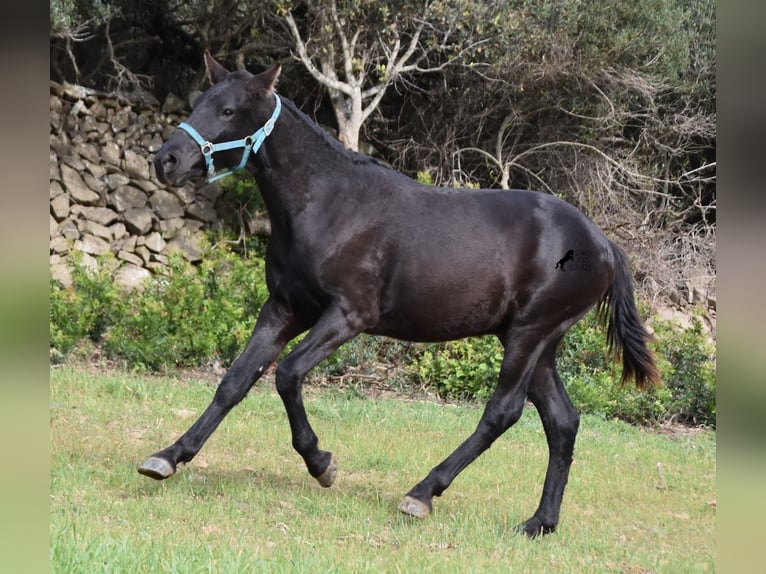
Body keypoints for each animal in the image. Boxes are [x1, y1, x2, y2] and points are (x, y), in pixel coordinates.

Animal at [142, 54, 660, 540]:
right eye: (198, 103)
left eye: (228, 110)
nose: (165, 160)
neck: (332, 203)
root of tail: (603, 244)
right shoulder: (285, 308)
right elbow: (235, 381)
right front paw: (167, 456)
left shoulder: (348, 315)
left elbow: (287, 375)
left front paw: (322, 463)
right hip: (537, 343)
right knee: (562, 421)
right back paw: (539, 524)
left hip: (530, 334)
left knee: (504, 412)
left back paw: (422, 494)